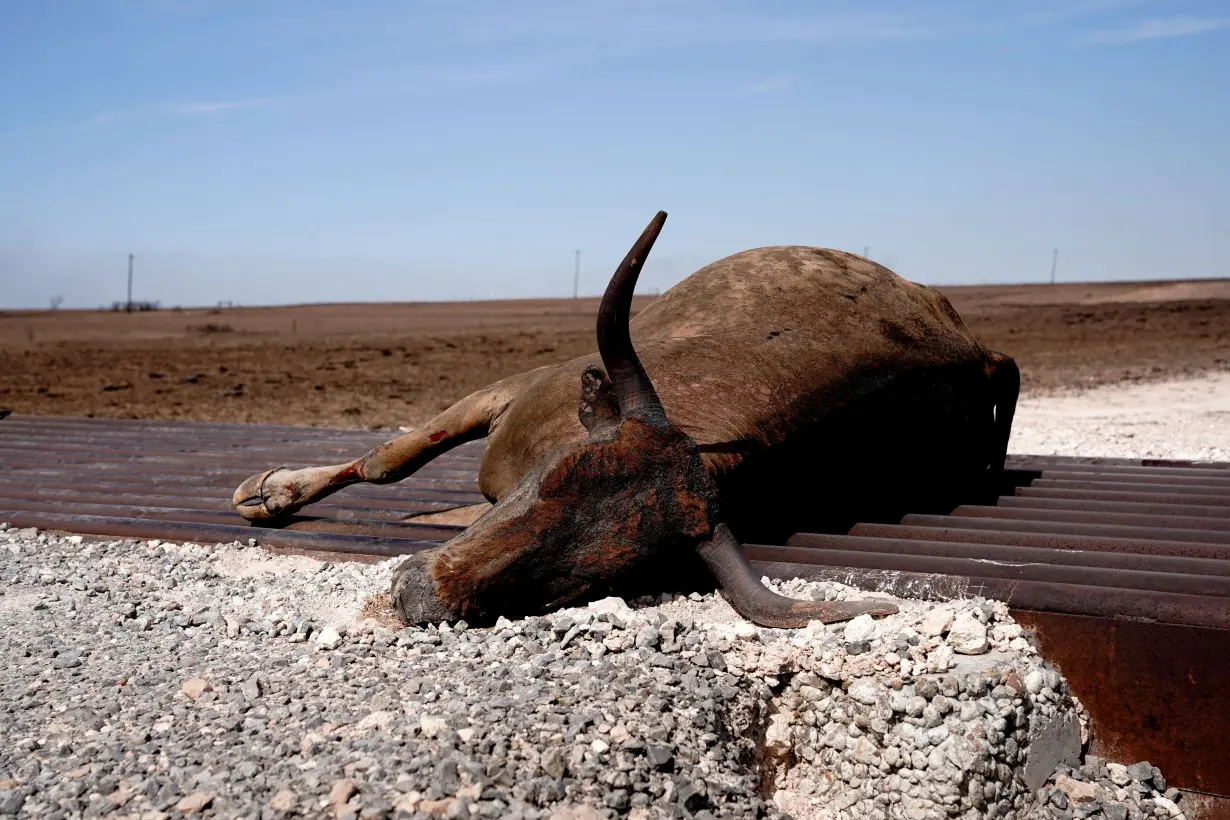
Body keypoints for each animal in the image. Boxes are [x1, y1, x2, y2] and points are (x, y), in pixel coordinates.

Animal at [231, 211, 1018, 629]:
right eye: (551, 478)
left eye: (585, 580)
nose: (418, 591)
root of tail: (980, 351)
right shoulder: (516, 387)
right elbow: (391, 458)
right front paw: (274, 490)